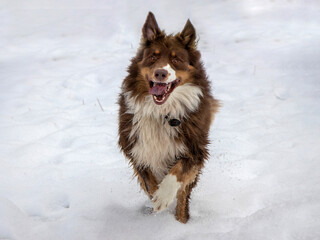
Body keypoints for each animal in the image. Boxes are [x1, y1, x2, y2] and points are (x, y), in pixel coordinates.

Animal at [118, 11, 220, 223]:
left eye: (176, 60)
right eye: (152, 57)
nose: (160, 73)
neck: (161, 112)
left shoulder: (195, 149)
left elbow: (177, 173)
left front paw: (163, 198)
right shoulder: (136, 148)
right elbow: (149, 183)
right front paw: (156, 200)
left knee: (183, 197)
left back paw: (181, 221)